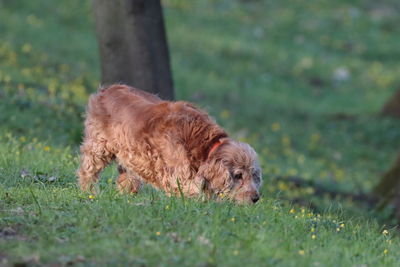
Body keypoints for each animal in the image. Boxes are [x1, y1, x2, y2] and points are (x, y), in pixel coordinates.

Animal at [77, 85, 262, 204]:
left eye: (254, 175)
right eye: (238, 175)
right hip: (99, 147)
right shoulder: (179, 177)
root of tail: (106, 89)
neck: (205, 145)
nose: (255, 198)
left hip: (129, 158)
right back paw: (89, 193)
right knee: (87, 172)